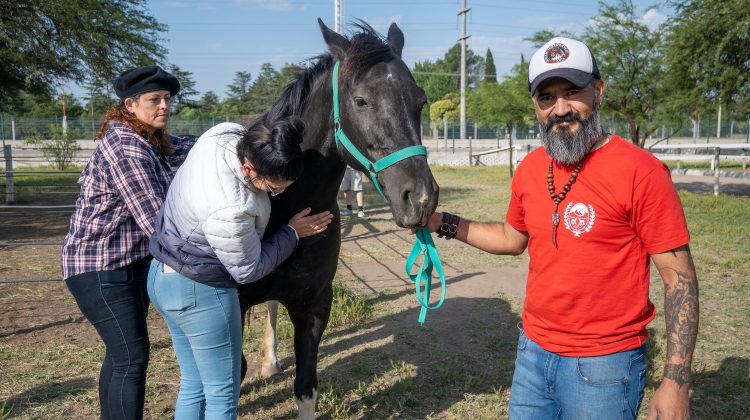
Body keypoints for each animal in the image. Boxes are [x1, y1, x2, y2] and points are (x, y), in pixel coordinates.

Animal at [239, 18, 440, 416]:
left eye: (420, 100)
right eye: (361, 101)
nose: (421, 199)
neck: (288, 205)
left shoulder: (314, 305)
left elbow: (305, 388)